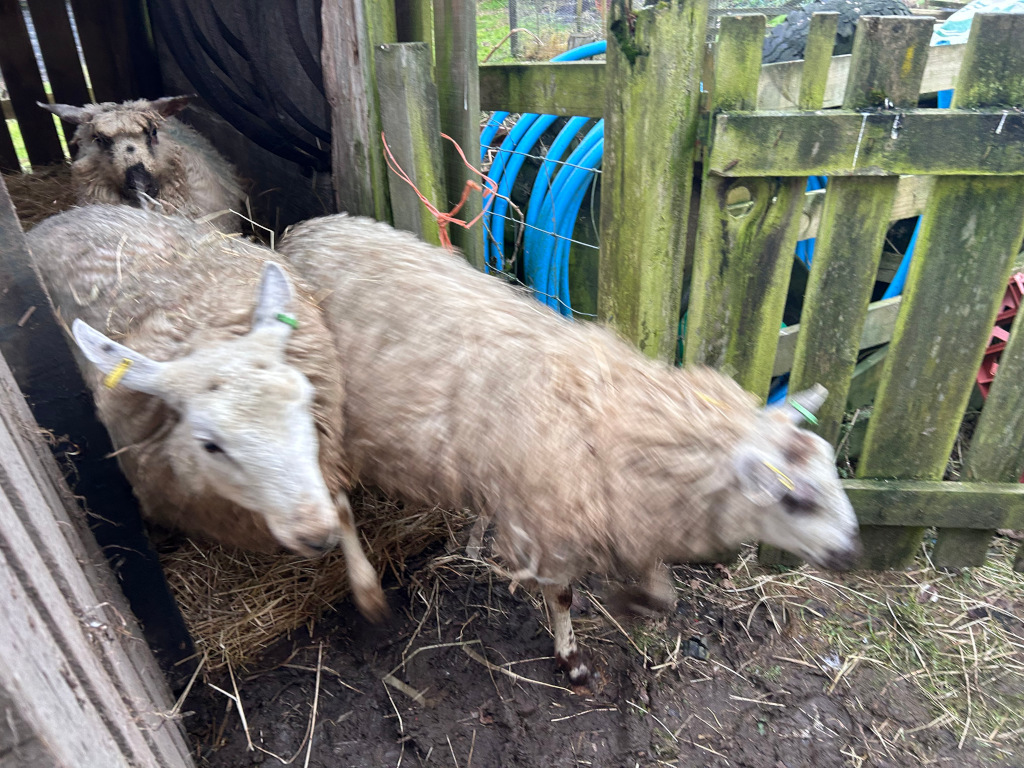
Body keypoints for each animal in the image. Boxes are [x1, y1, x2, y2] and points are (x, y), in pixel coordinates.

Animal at [25, 204, 385, 621]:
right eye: (210, 445)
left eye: (307, 403)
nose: (315, 534)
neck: (203, 333)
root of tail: (63, 215)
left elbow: (341, 507)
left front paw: (367, 589)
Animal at [277, 214, 862, 684]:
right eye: (796, 499)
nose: (852, 554)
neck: (624, 421)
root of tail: (301, 231)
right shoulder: (552, 526)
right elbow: (561, 597)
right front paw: (572, 657)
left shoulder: (626, 515)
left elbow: (662, 593)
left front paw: (632, 601)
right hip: (320, 409)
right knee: (335, 503)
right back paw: (368, 590)